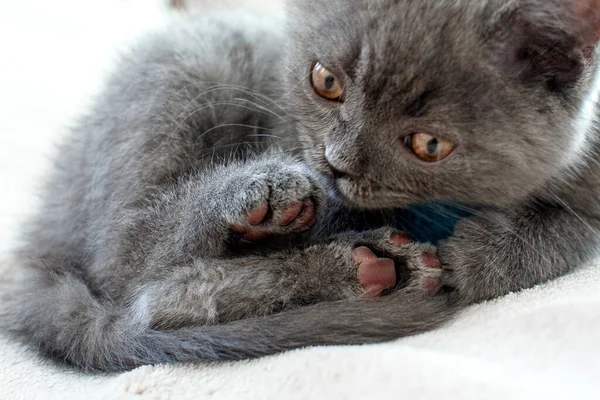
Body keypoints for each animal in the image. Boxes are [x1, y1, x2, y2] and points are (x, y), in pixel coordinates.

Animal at [4, 0, 600, 372]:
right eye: (326, 81)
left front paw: (479, 255)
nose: (336, 164)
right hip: (199, 55)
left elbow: (574, 231)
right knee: (135, 276)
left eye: (429, 145)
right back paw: (283, 210)